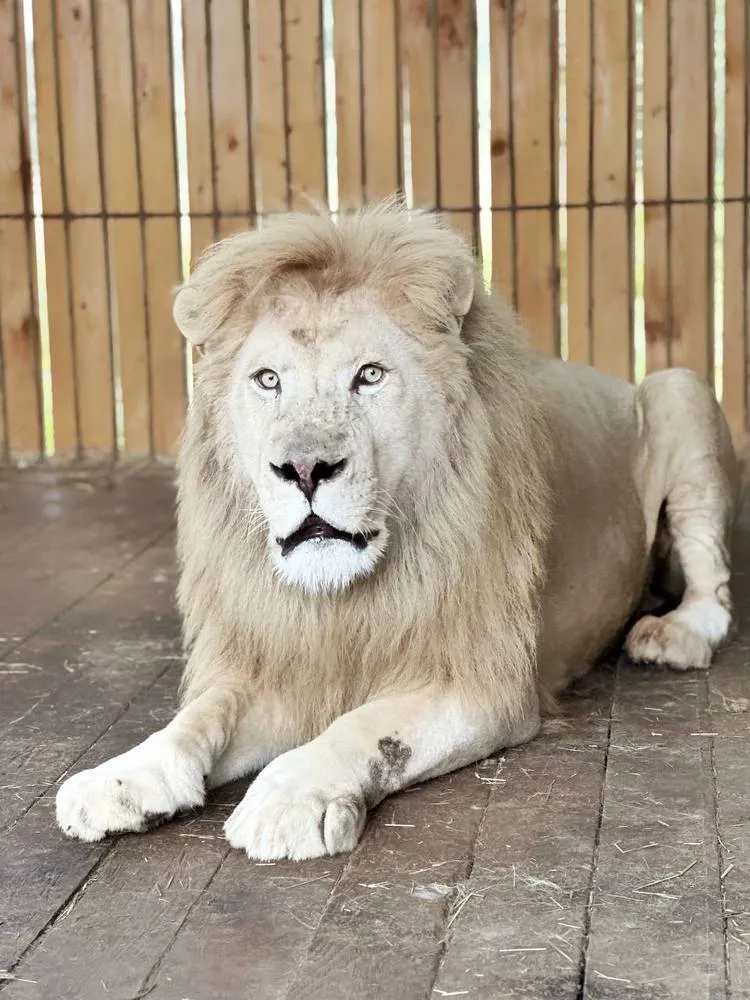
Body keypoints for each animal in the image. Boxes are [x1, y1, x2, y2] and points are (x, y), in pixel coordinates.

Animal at [56, 202, 737, 861]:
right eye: (268, 380)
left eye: (370, 375)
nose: (305, 468)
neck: (342, 599)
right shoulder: (283, 659)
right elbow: (200, 715)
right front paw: (120, 779)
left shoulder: (487, 682)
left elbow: (366, 727)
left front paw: (288, 799)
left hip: (679, 388)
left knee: (714, 584)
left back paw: (673, 637)